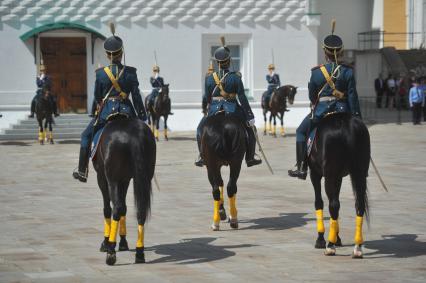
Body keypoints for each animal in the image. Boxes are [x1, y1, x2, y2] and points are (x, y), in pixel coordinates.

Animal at [92, 118, 156, 266]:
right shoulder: (125, 179)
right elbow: (125, 209)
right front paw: (123, 242)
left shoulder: (102, 178)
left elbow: (108, 209)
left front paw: (106, 242)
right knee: (140, 211)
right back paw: (139, 252)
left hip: (112, 178)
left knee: (116, 208)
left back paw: (110, 252)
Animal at [310, 113, 370, 260]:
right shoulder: (339, 177)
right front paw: (337, 237)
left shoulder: (315, 174)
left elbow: (319, 203)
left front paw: (322, 239)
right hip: (360, 173)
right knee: (359, 205)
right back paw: (357, 248)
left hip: (330, 175)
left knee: (333, 205)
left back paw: (330, 246)